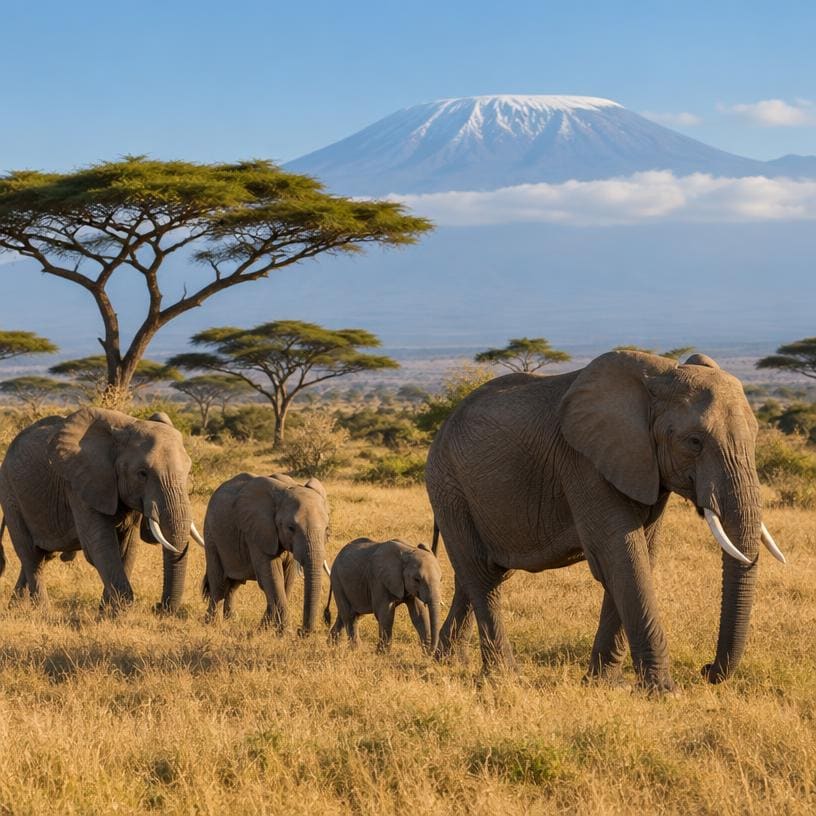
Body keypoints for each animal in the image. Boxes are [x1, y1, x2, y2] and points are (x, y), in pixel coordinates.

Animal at [0, 408, 201, 612]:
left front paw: (106, 612)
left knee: (44, 555)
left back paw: (15, 607)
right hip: (10, 494)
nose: (158, 607)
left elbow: (127, 548)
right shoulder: (80, 484)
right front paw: (119, 612)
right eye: (142, 474)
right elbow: (100, 546)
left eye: (188, 471)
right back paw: (44, 612)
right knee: (32, 557)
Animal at [200, 472, 330, 634]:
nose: (302, 632)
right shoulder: (258, 533)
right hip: (211, 534)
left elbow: (287, 579)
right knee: (218, 584)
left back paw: (231, 619)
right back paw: (211, 624)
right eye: (291, 528)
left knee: (234, 583)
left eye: (327, 529)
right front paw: (285, 632)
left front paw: (264, 628)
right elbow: (273, 578)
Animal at [425, 350, 785, 691]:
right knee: (482, 575)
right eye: (694, 442)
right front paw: (662, 692)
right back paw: (504, 676)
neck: (660, 376)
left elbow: (639, 556)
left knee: (479, 573)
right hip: (449, 486)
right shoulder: (583, 462)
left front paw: (605, 684)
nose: (706, 670)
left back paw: (447, 661)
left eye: (756, 436)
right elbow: (621, 556)